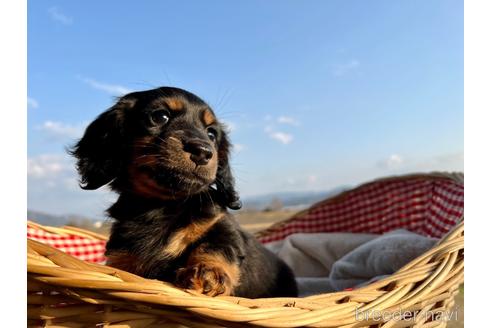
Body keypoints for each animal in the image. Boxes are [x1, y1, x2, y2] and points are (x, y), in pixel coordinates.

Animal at [71, 86, 298, 298]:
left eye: (211, 133)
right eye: (160, 116)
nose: (203, 151)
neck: (163, 206)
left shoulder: (221, 226)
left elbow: (214, 246)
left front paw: (208, 272)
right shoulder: (123, 257)